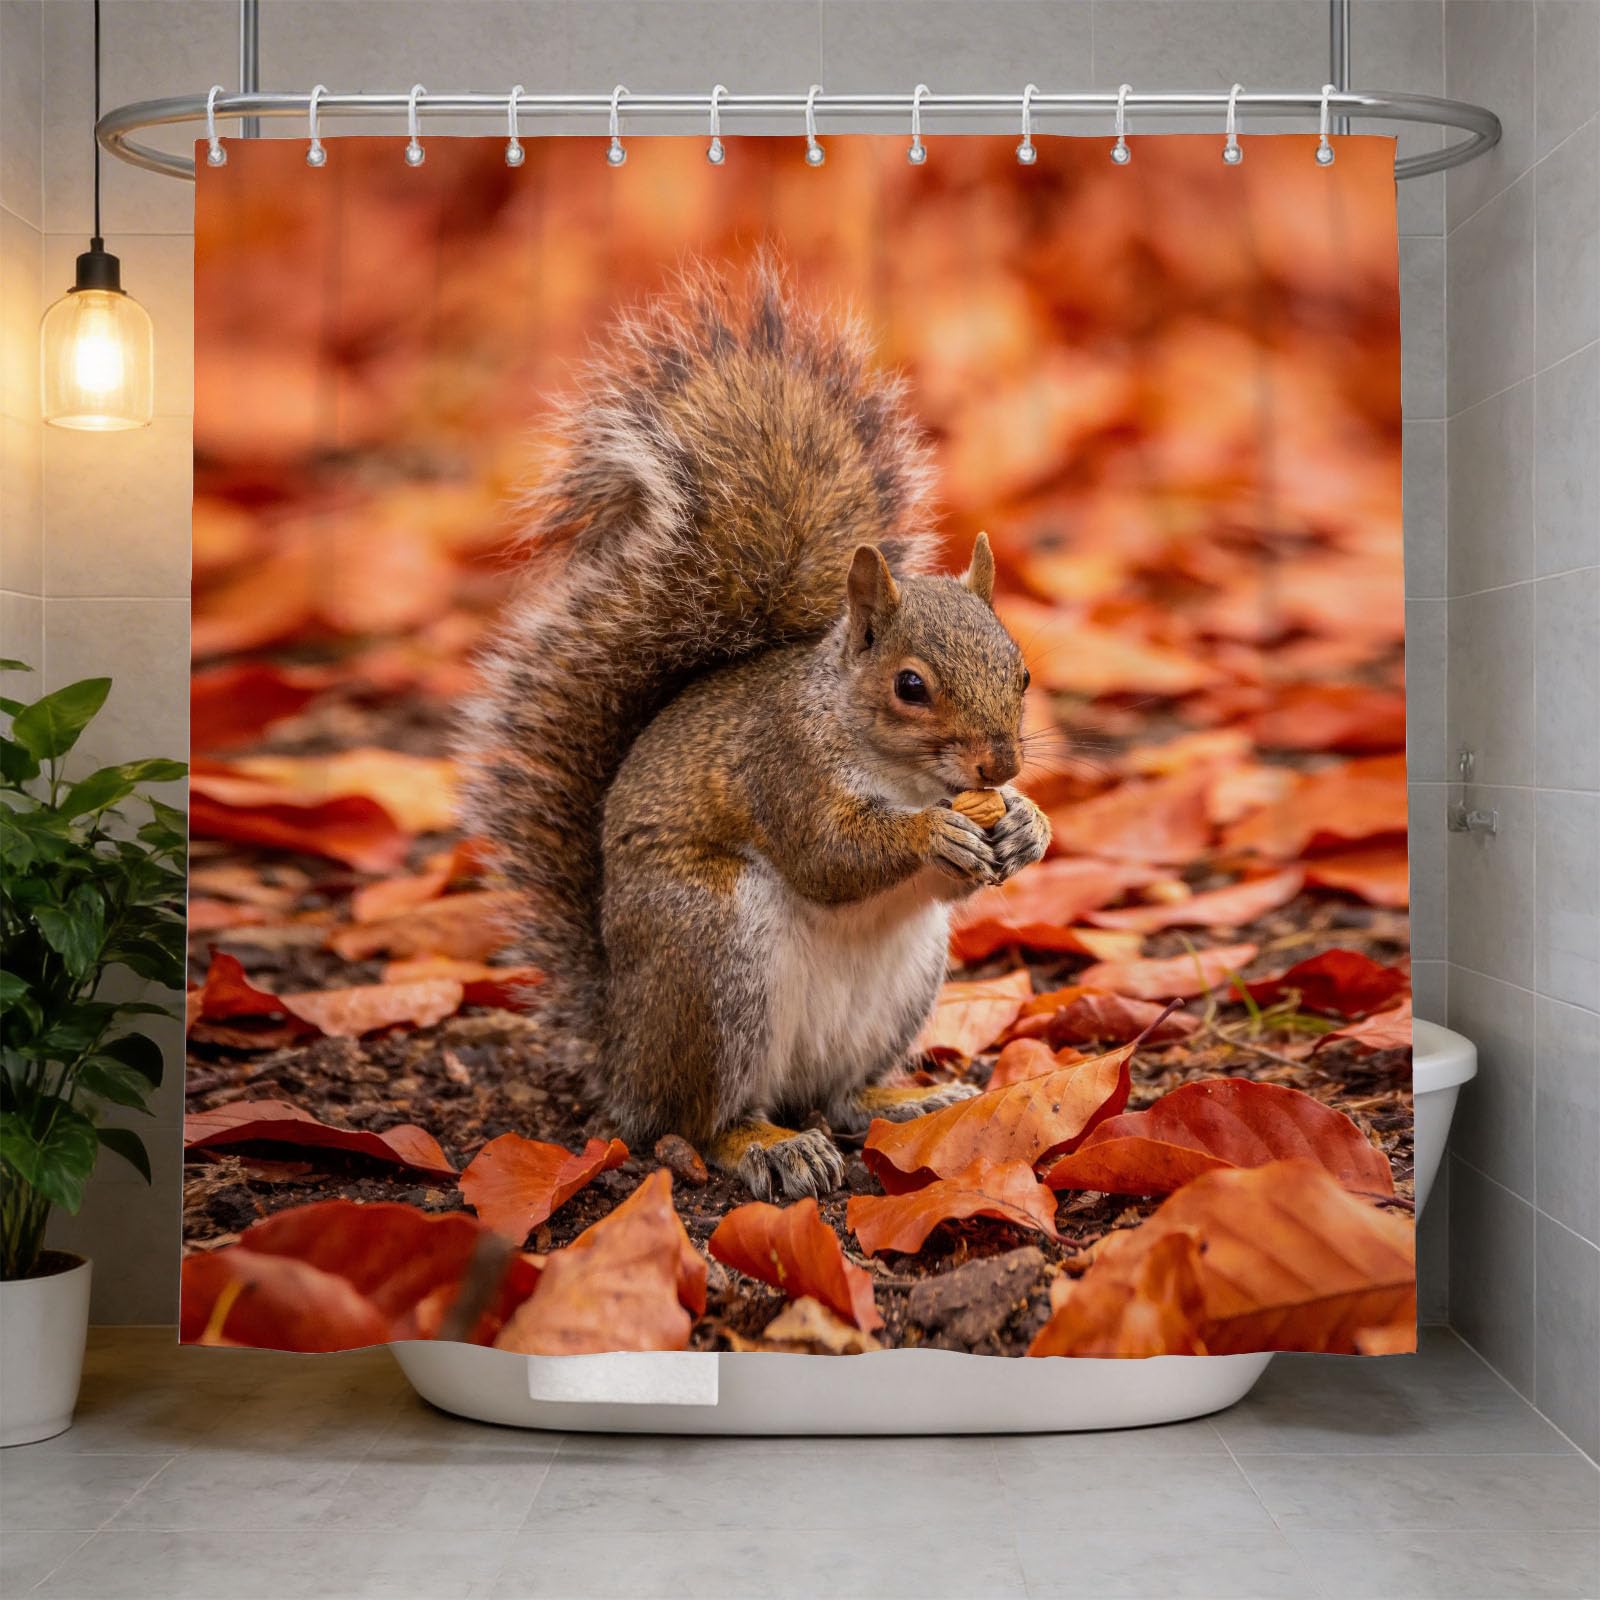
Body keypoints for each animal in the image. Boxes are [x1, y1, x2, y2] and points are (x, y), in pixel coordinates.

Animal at [462, 261, 1051, 1200]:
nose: (999, 763)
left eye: (1022, 672)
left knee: (837, 1095)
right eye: (911, 686)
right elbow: (828, 854)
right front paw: (931, 835)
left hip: (902, 988)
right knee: (701, 1123)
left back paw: (898, 1099)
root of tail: (625, 1057)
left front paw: (1028, 825)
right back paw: (767, 1146)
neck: (898, 769)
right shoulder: (783, 768)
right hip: (712, 963)